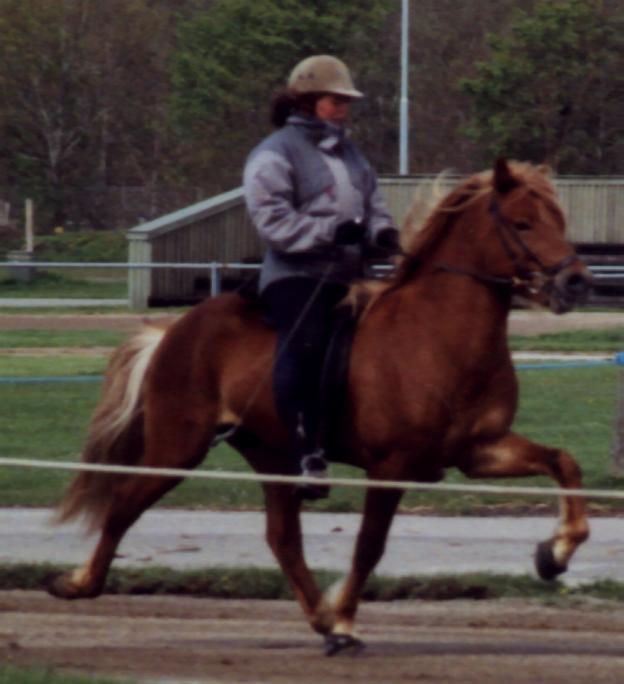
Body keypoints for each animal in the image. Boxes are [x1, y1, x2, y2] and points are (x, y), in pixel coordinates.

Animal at [47, 160, 588, 656]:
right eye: (522, 223)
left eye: (560, 219)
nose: (577, 283)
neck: (437, 336)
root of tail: (175, 331)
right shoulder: (391, 467)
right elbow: (369, 546)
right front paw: (347, 619)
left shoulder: (479, 451)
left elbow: (563, 461)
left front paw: (555, 554)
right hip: (177, 449)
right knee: (124, 503)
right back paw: (78, 584)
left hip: (272, 455)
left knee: (283, 538)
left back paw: (320, 620)